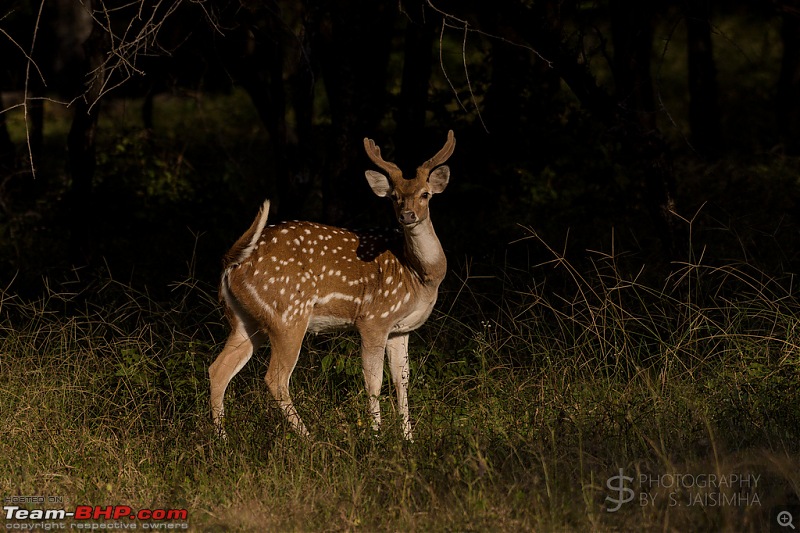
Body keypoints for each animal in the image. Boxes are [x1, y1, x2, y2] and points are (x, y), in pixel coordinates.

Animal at [208, 130, 456, 440]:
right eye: (395, 197)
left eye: (425, 194)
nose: (407, 215)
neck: (419, 275)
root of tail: (231, 263)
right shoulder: (373, 319)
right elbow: (373, 381)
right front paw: (376, 436)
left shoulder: (401, 329)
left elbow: (402, 382)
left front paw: (408, 438)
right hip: (287, 314)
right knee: (275, 378)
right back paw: (309, 438)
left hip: (245, 319)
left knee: (217, 370)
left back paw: (222, 440)